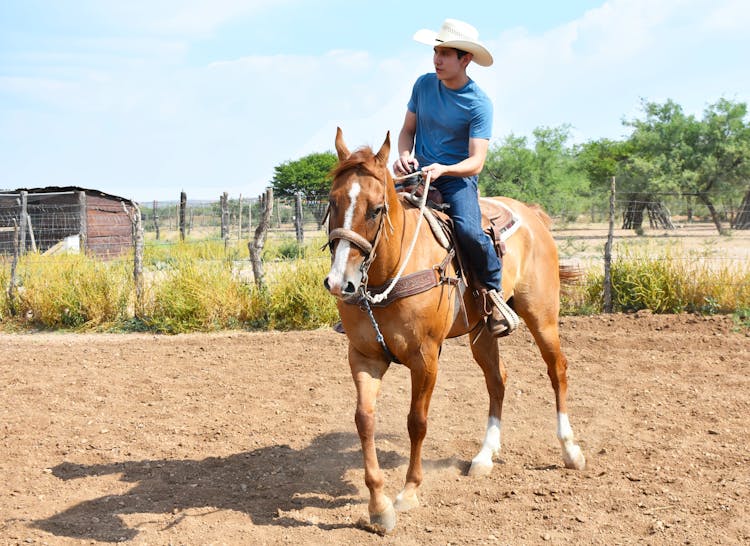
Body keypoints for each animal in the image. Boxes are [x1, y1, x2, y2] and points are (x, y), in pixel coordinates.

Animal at [324, 125, 588, 528]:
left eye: (375, 209)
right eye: (331, 203)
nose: (341, 283)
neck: (391, 271)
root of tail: (532, 216)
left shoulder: (426, 358)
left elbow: (416, 422)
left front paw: (409, 492)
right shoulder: (364, 357)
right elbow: (364, 421)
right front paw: (379, 506)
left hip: (542, 316)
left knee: (556, 369)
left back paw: (570, 450)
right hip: (482, 333)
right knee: (497, 380)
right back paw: (483, 457)